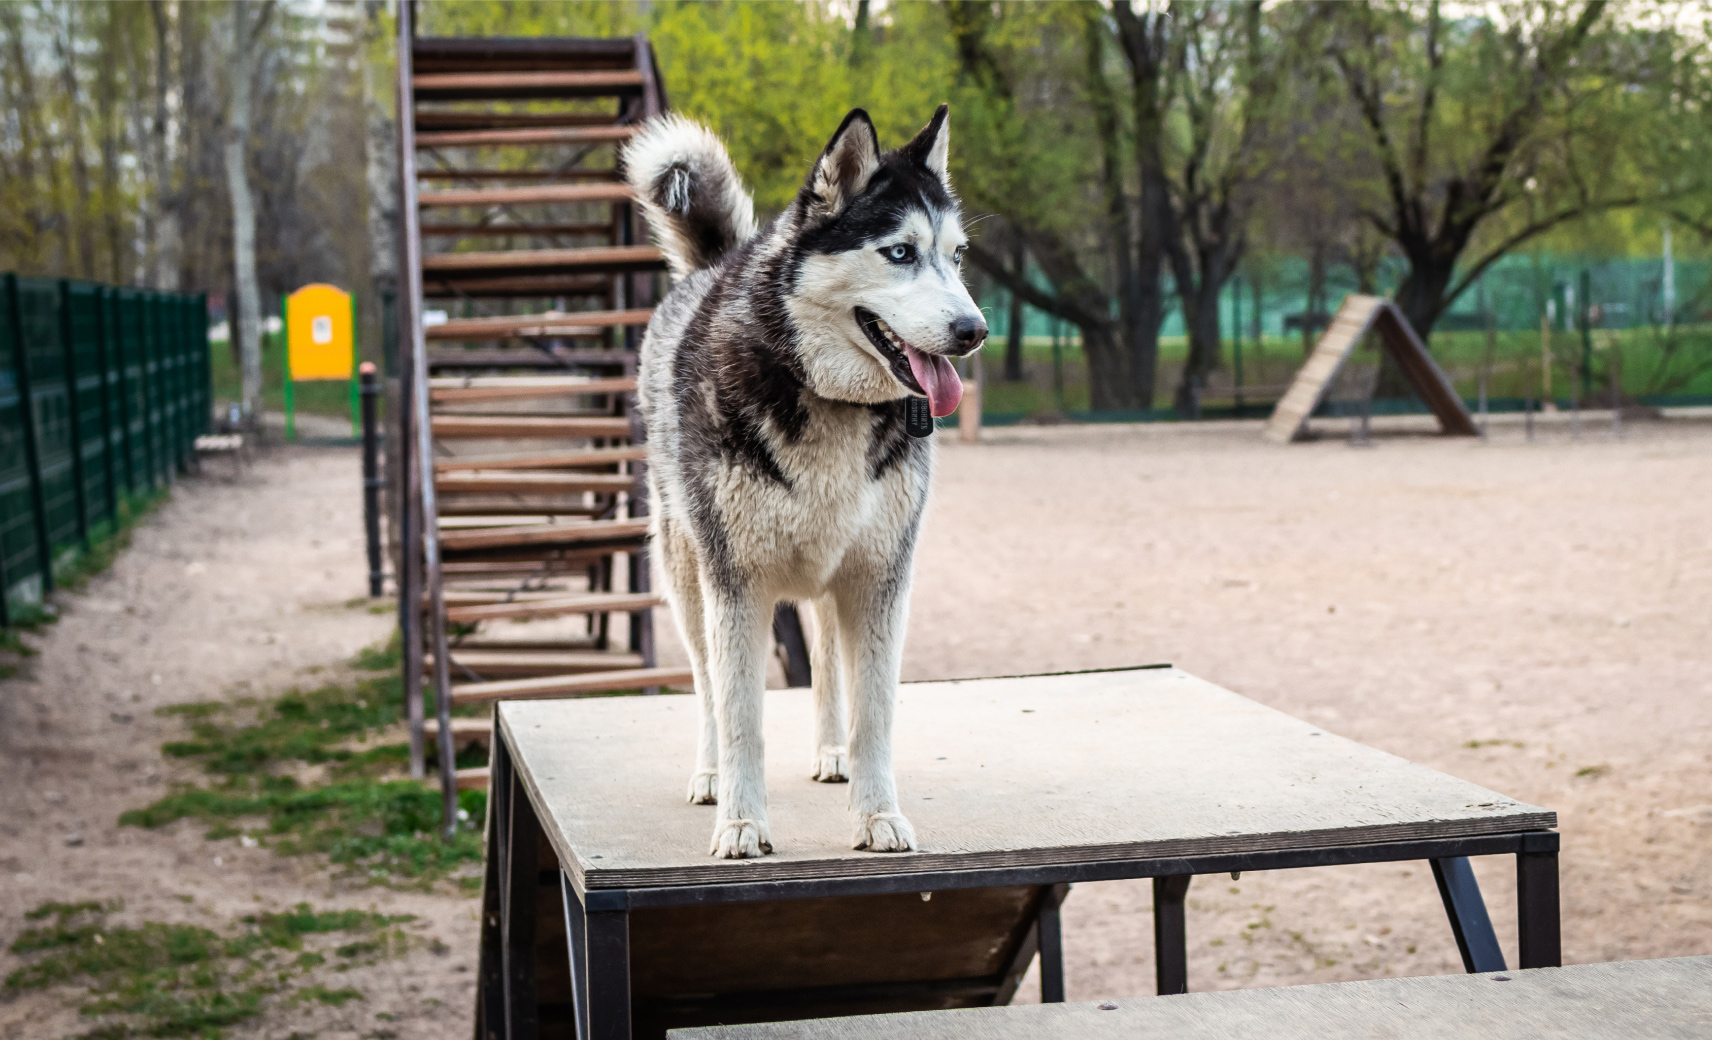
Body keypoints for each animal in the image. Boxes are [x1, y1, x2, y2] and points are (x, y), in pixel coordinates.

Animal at [623, 105, 986, 860]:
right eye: (900, 253)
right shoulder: (737, 586)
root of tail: (712, 267)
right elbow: (741, 717)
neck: (831, 401)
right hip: (687, 576)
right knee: (706, 686)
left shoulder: (879, 579)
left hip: (828, 578)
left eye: (957, 256)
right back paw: (709, 775)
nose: (974, 329)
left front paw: (877, 815)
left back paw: (832, 755)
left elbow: (874, 714)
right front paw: (741, 822)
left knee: (825, 666)